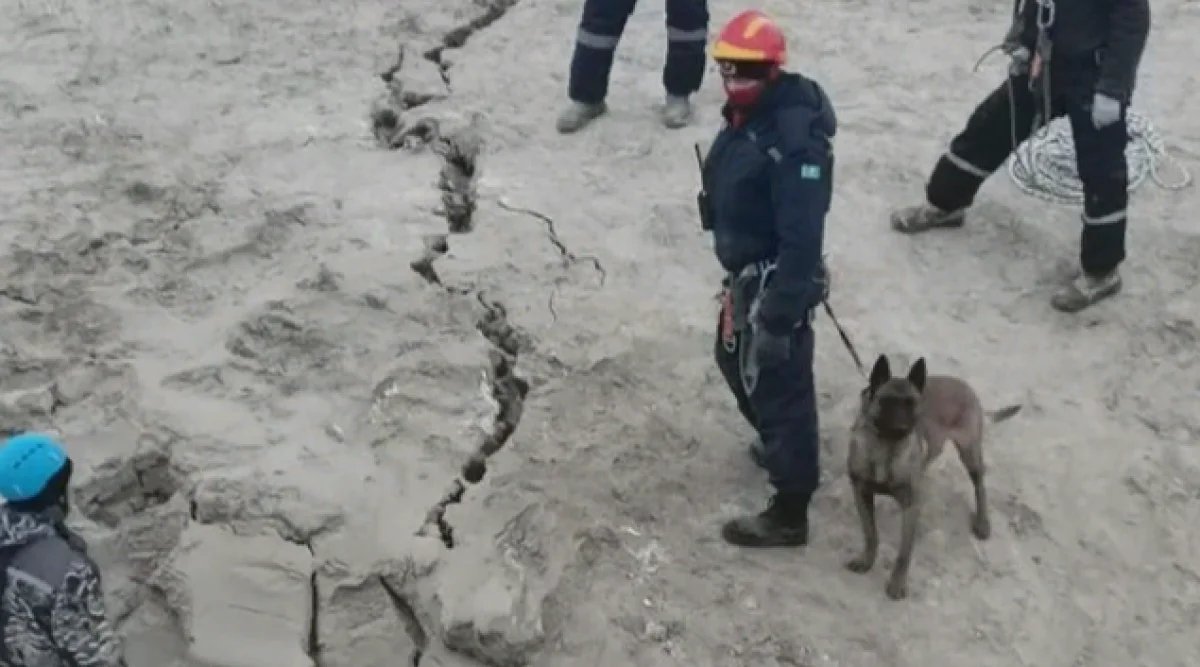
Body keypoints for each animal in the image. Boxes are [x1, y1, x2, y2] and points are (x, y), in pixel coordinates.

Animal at [844, 355, 1022, 599]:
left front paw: (897, 583)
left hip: (970, 452)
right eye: (887, 401)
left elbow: (904, 552)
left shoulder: (911, 507)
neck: (885, 447)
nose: (904, 422)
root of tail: (967, 387)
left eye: (913, 403)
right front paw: (866, 560)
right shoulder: (861, 494)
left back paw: (982, 522)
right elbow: (871, 534)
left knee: (980, 485)